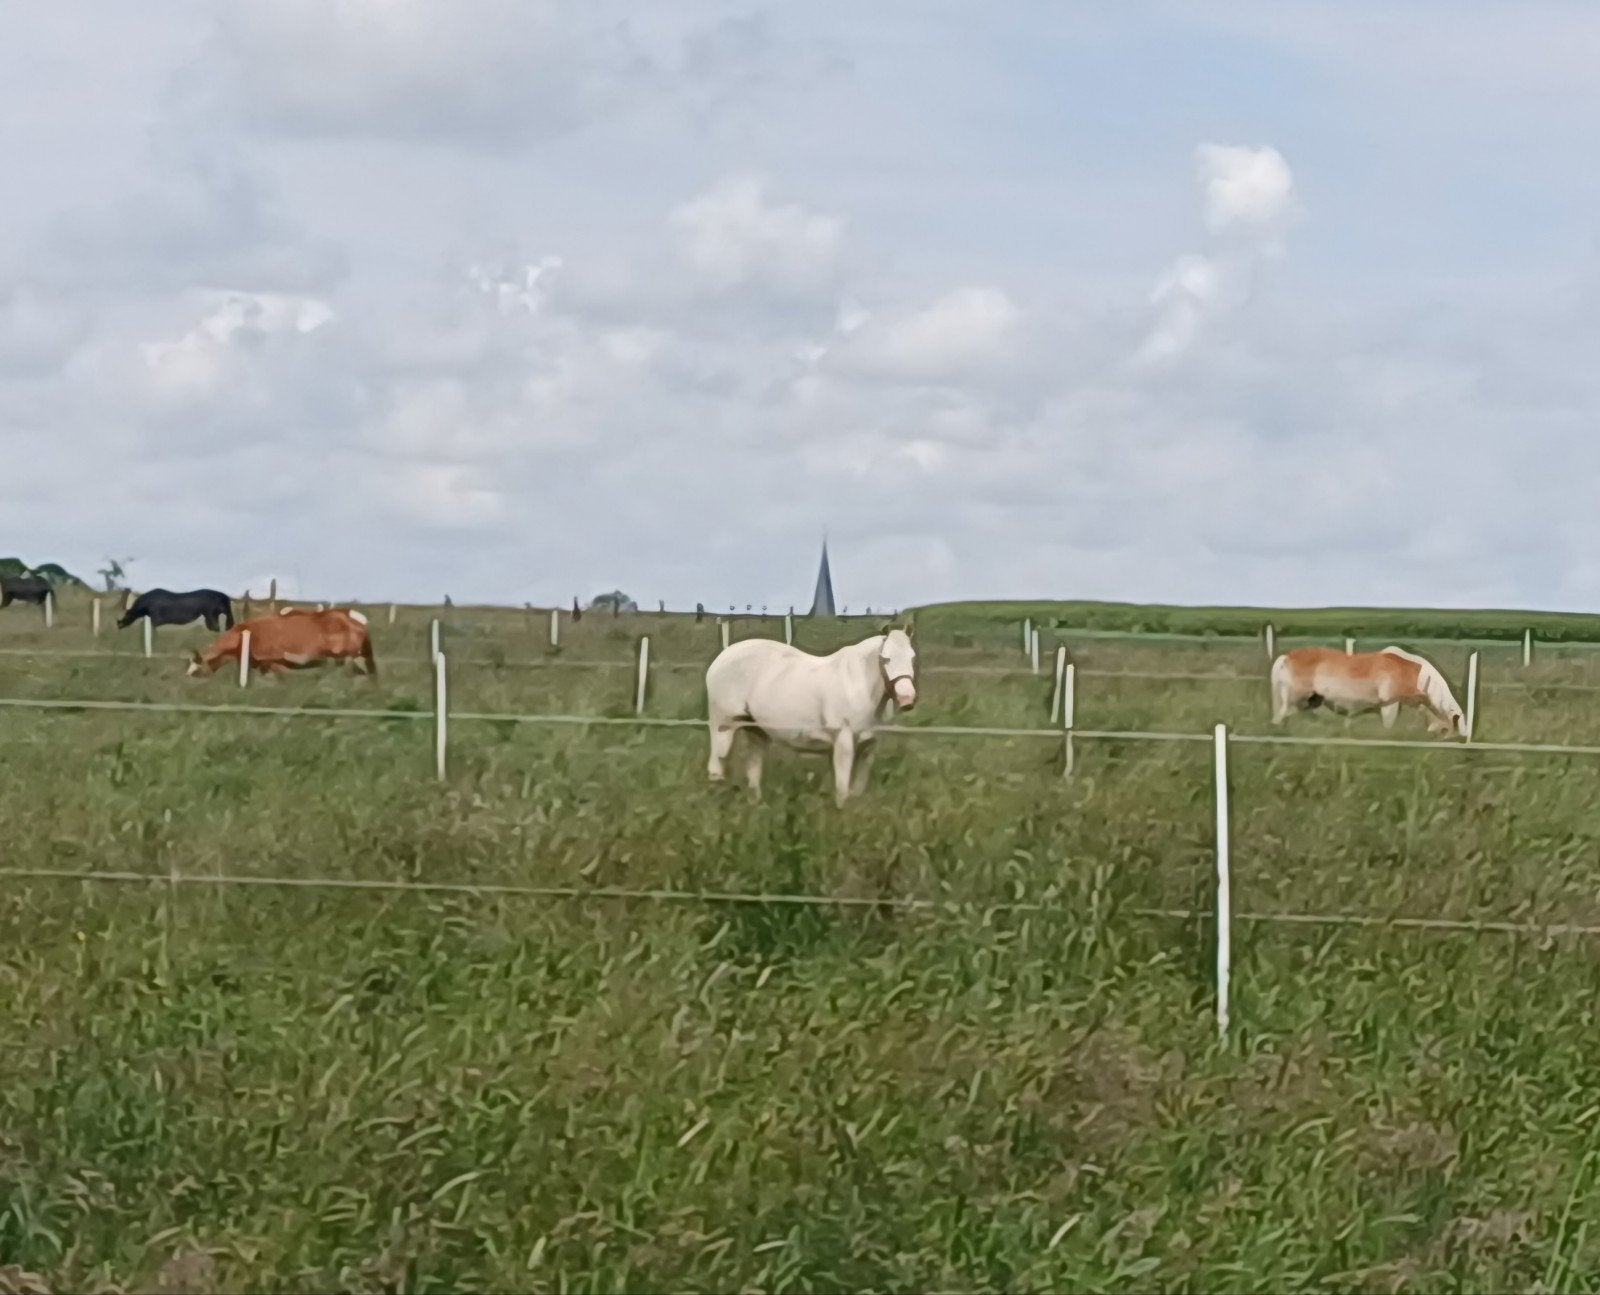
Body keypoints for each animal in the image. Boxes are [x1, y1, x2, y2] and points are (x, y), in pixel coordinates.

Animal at [706, 626, 918, 805]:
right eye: (885, 659)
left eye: (912, 658)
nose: (907, 698)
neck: (859, 685)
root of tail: (721, 658)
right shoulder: (843, 742)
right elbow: (842, 791)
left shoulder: (868, 746)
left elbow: (856, 790)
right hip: (723, 727)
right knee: (716, 768)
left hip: (756, 731)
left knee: (753, 769)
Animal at [1270, 645, 1466, 737]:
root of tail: (1286, 657)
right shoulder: (1389, 704)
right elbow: (1388, 726)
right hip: (1294, 700)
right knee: (1281, 717)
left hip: (1311, 701)